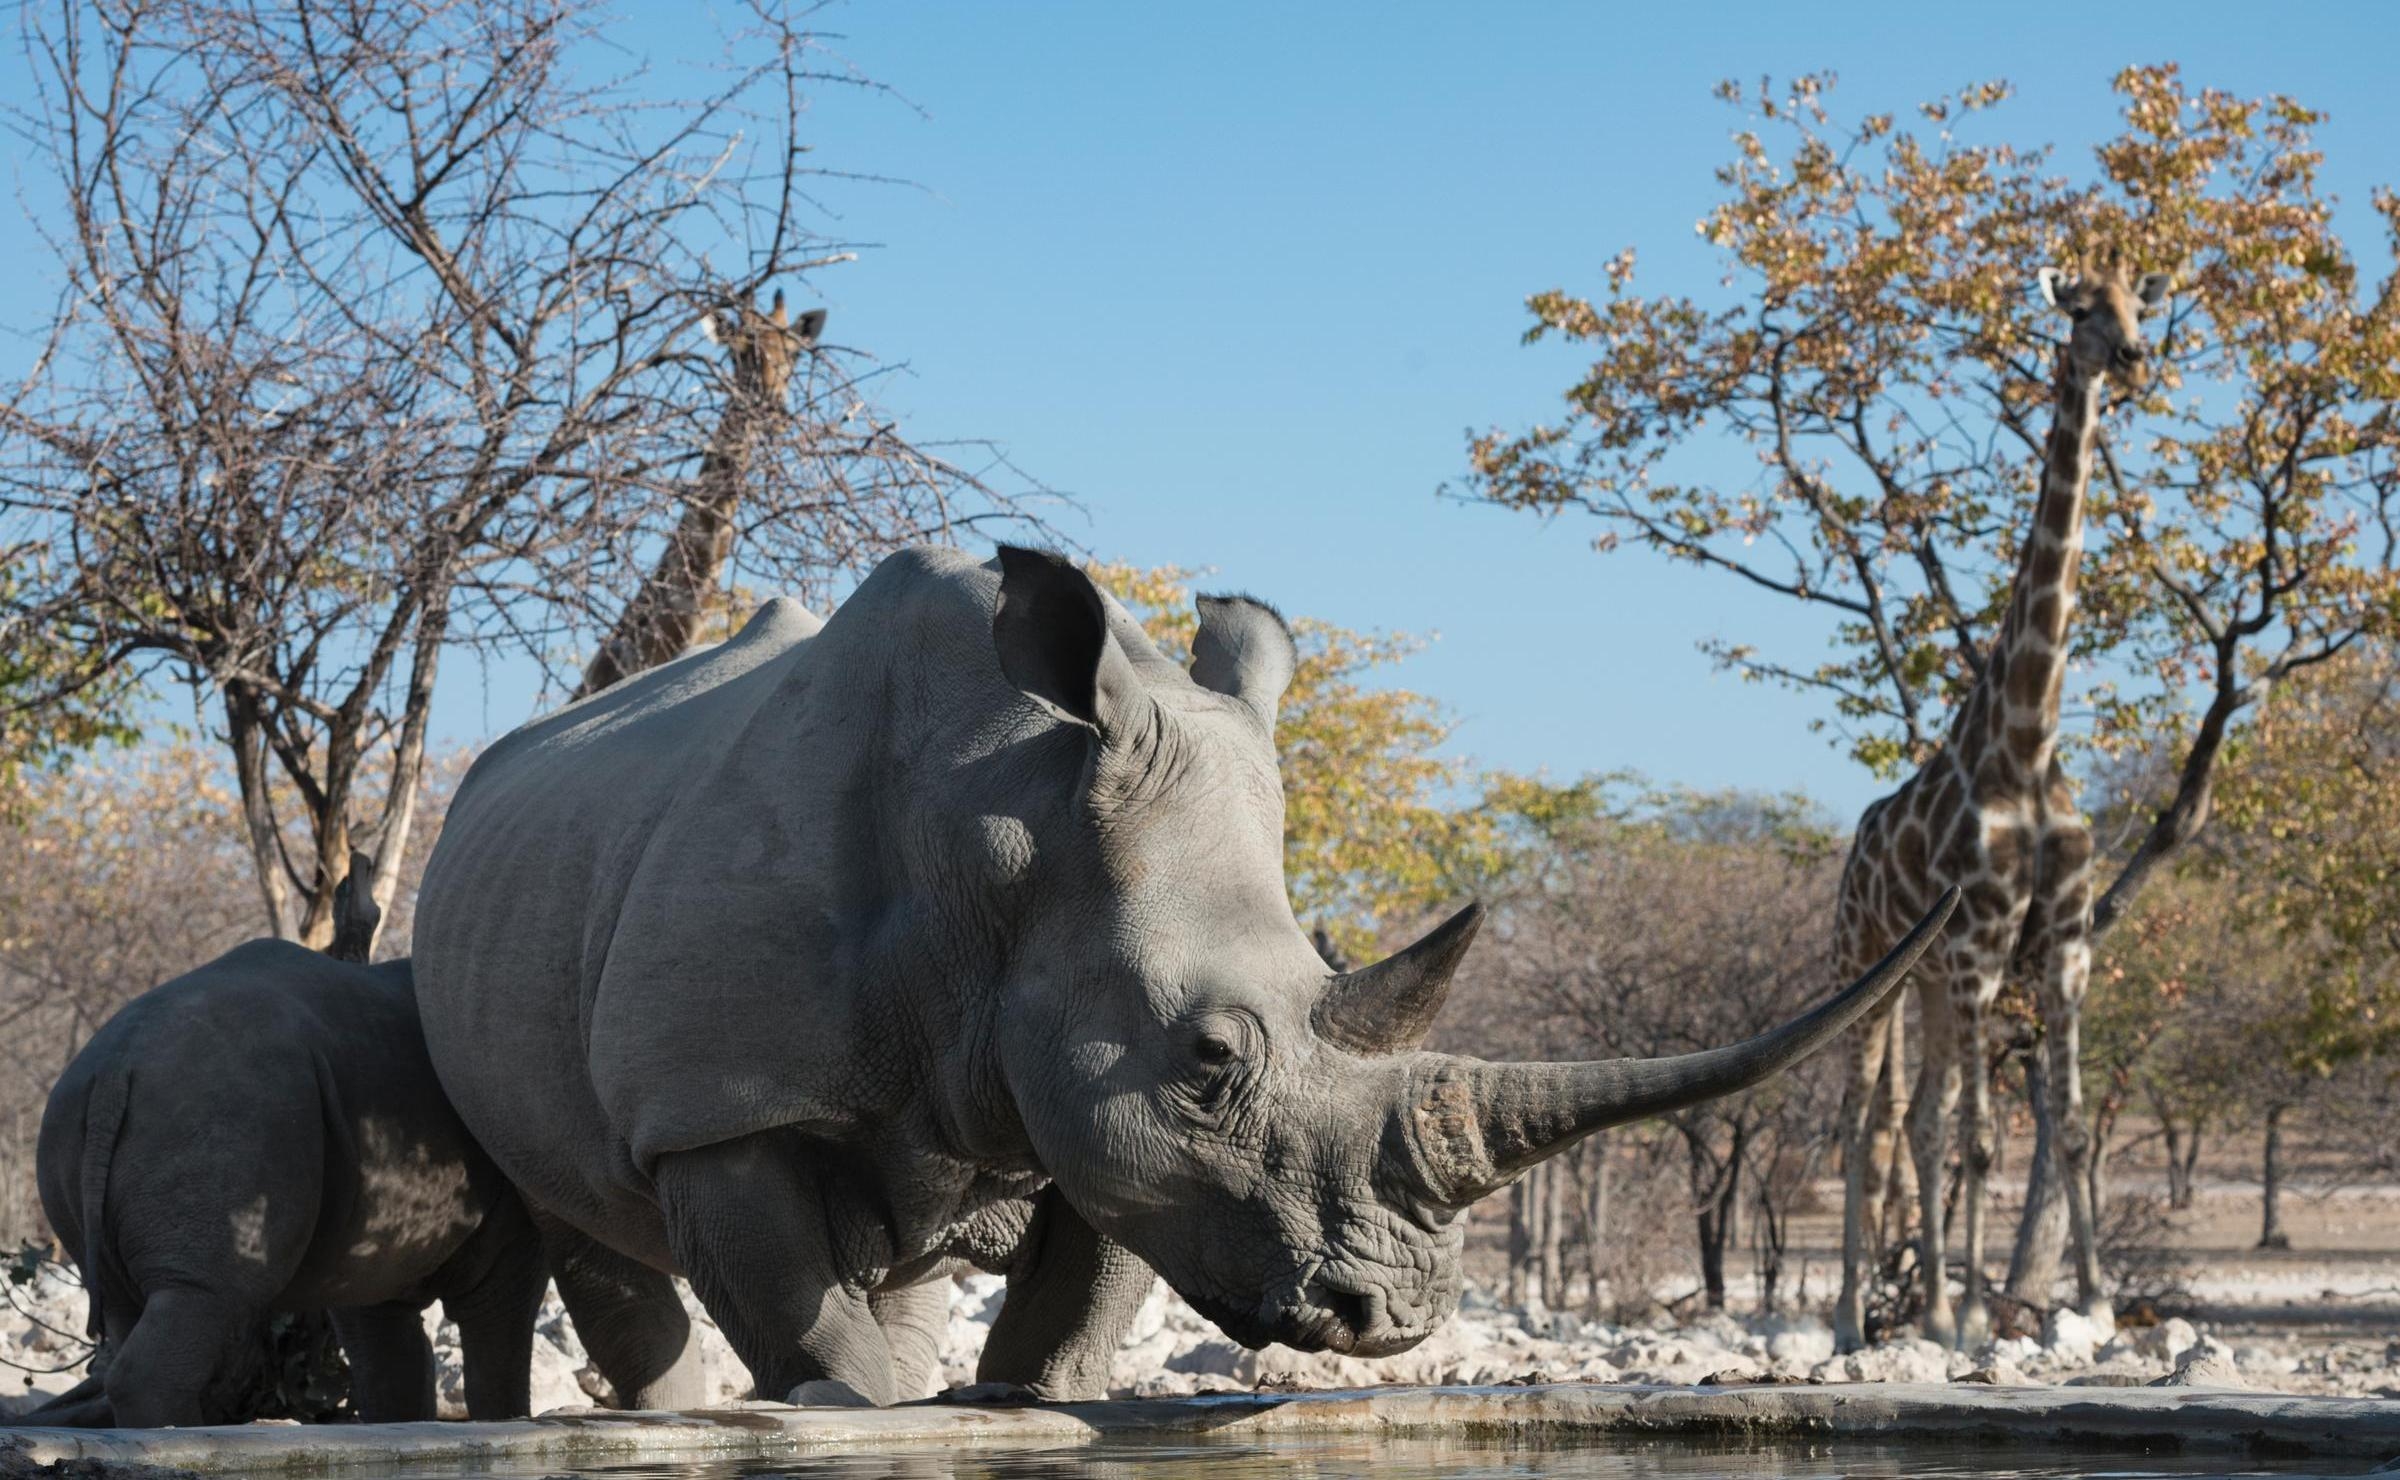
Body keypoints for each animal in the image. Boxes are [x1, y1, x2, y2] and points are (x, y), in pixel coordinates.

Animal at [412, 546, 1953, 1405]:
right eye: (1212, 1060)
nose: (1392, 1319)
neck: (1000, 833)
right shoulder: (719, 1100)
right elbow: (801, 1321)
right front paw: (843, 1411)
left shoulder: (1101, 1097)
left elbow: (1071, 1310)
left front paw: (1003, 1406)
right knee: (586, 1225)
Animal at [1831, 261, 2171, 1352]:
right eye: (2080, 309)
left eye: (2138, 303)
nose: (2132, 356)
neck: (2026, 738)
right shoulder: (1983, 940)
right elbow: (1983, 1138)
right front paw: (1983, 1314)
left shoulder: (2061, 945)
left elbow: (2067, 1130)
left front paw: (2092, 1302)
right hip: (1867, 969)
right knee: (1865, 1123)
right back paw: (1851, 1316)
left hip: (1933, 985)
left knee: (1917, 1117)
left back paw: (1929, 1304)